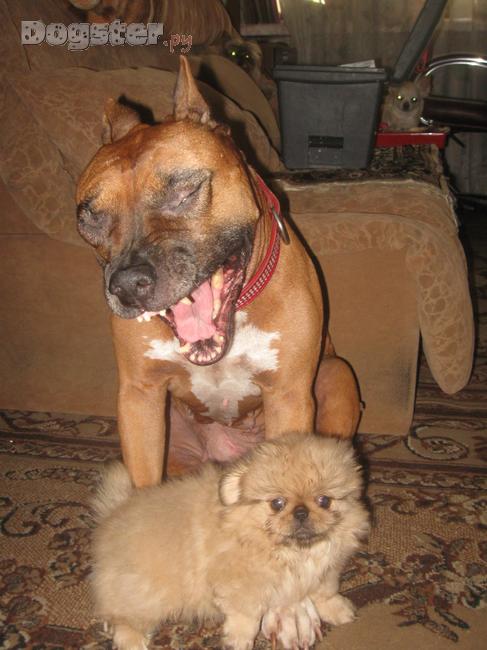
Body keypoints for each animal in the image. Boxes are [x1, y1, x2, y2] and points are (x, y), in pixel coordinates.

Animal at [76, 56, 361, 486]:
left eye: (187, 191)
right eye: (88, 219)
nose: (126, 285)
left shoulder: (289, 396)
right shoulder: (139, 397)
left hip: (335, 376)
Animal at [91, 433, 370, 650]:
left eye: (324, 501)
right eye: (277, 503)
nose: (301, 513)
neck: (293, 552)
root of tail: (113, 514)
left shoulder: (327, 570)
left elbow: (324, 592)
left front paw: (338, 609)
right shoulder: (241, 586)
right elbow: (246, 616)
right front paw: (239, 640)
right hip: (147, 594)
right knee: (123, 617)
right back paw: (131, 640)